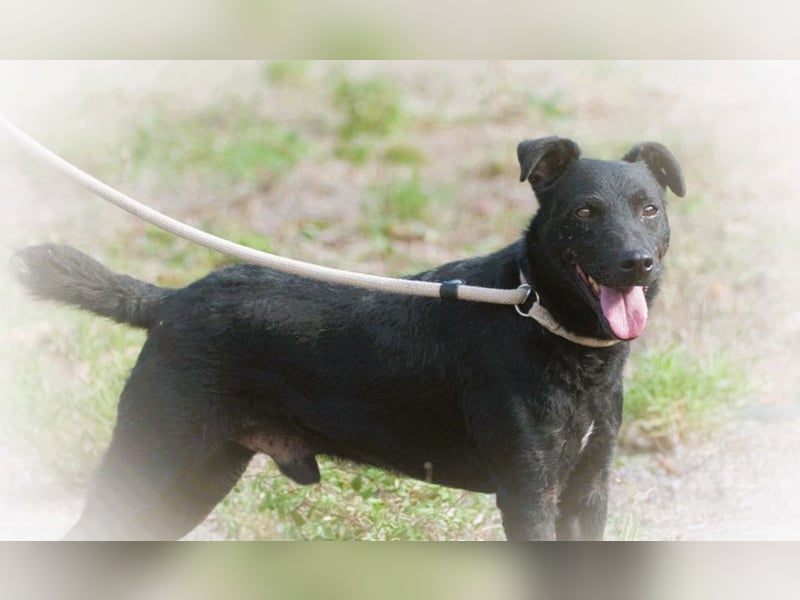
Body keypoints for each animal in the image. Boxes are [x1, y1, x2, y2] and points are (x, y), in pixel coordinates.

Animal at [13, 136, 684, 540]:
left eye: (649, 209)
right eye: (585, 211)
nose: (637, 263)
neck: (543, 322)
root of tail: (168, 301)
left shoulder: (587, 491)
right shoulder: (529, 494)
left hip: (195, 478)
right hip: (151, 457)